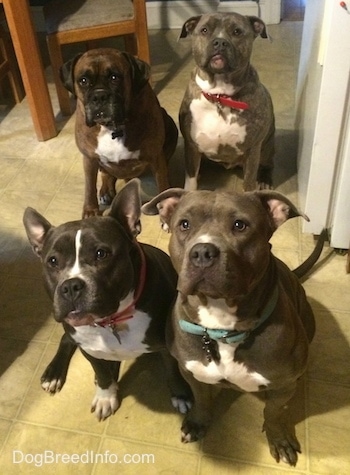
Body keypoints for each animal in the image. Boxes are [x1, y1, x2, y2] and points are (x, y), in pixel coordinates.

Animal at [22, 180, 191, 422]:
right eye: (52, 261)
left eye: (101, 254)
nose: (70, 286)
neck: (112, 320)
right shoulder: (89, 349)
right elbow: (100, 373)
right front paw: (105, 396)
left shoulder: (166, 347)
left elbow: (172, 372)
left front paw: (181, 395)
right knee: (66, 339)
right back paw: (53, 374)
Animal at [179, 14, 274, 193]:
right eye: (204, 30)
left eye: (237, 32)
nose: (220, 42)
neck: (219, 95)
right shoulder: (191, 147)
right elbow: (190, 181)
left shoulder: (253, 149)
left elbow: (249, 183)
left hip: (266, 146)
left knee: (267, 163)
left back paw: (265, 180)